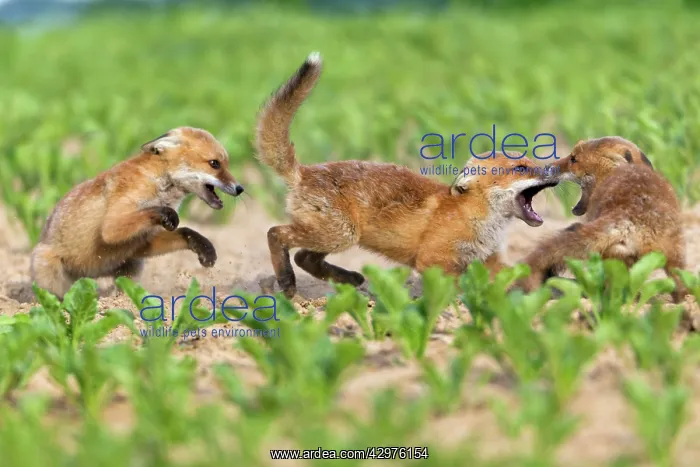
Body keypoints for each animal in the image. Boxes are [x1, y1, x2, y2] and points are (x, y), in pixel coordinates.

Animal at [30, 127, 245, 299]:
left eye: (225, 164)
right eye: (215, 164)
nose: (240, 188)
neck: (158, 183)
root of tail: (90, 276)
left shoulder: (138, 242)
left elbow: (186, 231)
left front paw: (204, 248)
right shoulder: (111, 227)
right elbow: (155, 213)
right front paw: (169, 214)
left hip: (132, 265)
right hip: (50, 271)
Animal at [255, 52, 559, 299]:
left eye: (533, 160)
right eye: (520, 168)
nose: (556, 169)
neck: (476, 218)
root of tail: (304, 172)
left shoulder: (489, 260)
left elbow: (521, 276)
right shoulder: (433, 261)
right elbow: (453, 290)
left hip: (333, 235)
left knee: (305, 258)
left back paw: (349, 279)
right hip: (339, 234)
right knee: (276, 234)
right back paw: (287, 282)